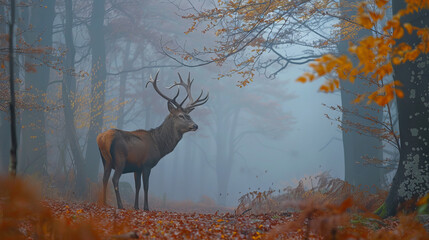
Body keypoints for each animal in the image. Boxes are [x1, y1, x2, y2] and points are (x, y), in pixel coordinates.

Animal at [98, 71, 209, 210]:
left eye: (189, 115)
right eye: (181, 116)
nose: (195, 125)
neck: (159, 145)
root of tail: (102, 139)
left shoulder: (137, 167)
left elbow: (137, 186)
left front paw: (136, 207)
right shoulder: (147, 164)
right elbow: (146, 187)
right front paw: (146, 207)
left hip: (105, 160)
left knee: (104, 178)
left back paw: (103, 202)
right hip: (120, 158)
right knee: (115, 179)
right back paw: (120, 205)